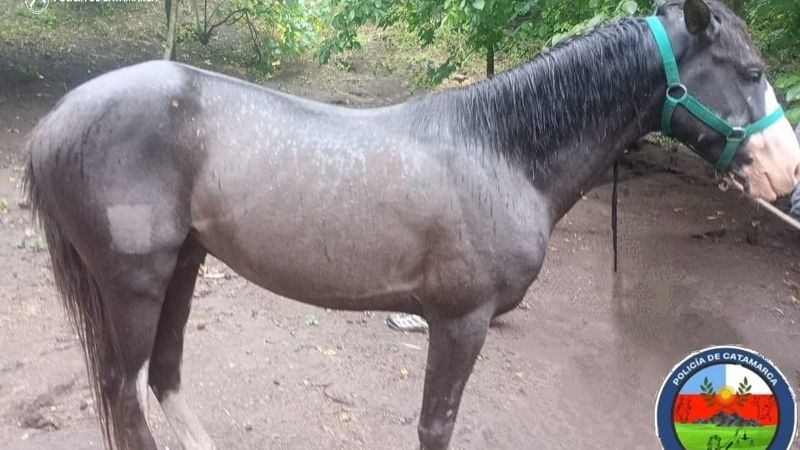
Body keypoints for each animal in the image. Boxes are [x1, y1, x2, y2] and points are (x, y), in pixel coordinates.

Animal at [23, 0, 800, 448]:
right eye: (750, 68)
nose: (786, 179)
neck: (500, 152)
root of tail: (55, 123)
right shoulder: (460, 322)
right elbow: (435, 426)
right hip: (134, 283)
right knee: (123, 389)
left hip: (185, 264)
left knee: (163, 375)